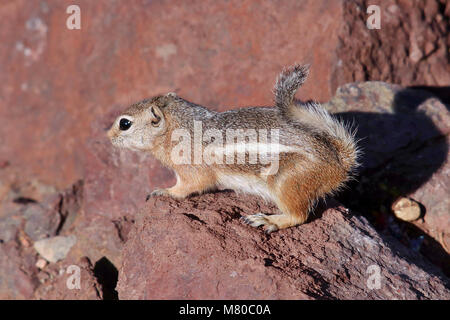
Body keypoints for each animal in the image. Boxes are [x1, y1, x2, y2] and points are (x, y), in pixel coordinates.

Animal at [108, 64, 358, 232]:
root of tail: (338, 161)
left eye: (124, 124)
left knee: (299, 215)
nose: (108, 136)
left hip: (286, 181)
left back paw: (269, 220)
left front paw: (165, 191)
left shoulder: (191, 171)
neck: (178, 126)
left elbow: (188, 187)